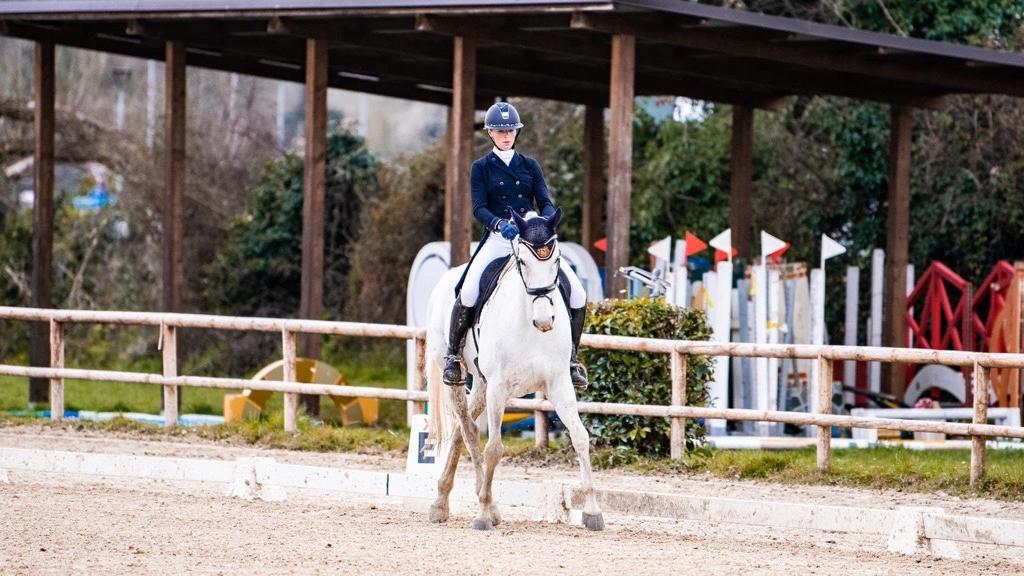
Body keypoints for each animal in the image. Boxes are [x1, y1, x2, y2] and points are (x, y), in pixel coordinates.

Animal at [421, 207, 598, 528]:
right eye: (523, 262)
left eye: (556, 260)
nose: (545, 320)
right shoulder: (500, 387)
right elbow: (494, 448)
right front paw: (482, 514)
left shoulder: (559, 384)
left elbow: (580, 437)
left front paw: (592, 512)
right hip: (458, 378)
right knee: (468, 430)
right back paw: (473, 504)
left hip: (482, 384)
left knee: (461, 430)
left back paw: (449, 499)